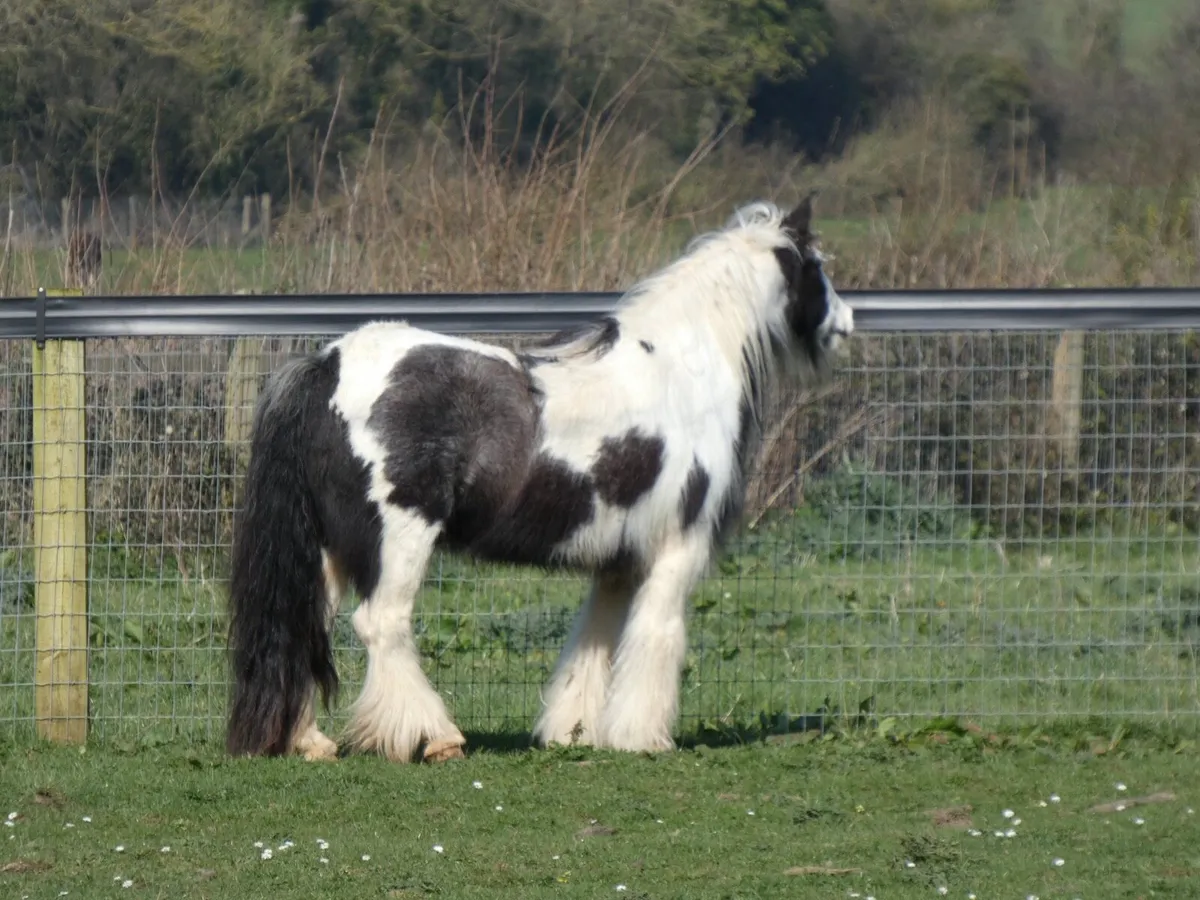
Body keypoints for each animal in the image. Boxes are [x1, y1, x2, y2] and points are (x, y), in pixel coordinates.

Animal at [224, 195, 855, 763]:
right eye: (818, 265)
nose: (846, 323)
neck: (680, 372)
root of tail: (327, 365)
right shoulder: (677, 549)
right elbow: (656, 638)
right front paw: (642, 738)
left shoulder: (617, 564)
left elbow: (592, 645)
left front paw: (574, 732)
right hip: (399, 539)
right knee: (381, 623)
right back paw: (435, 738)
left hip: (326, 550)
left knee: (308, 625)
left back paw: (309, 742)